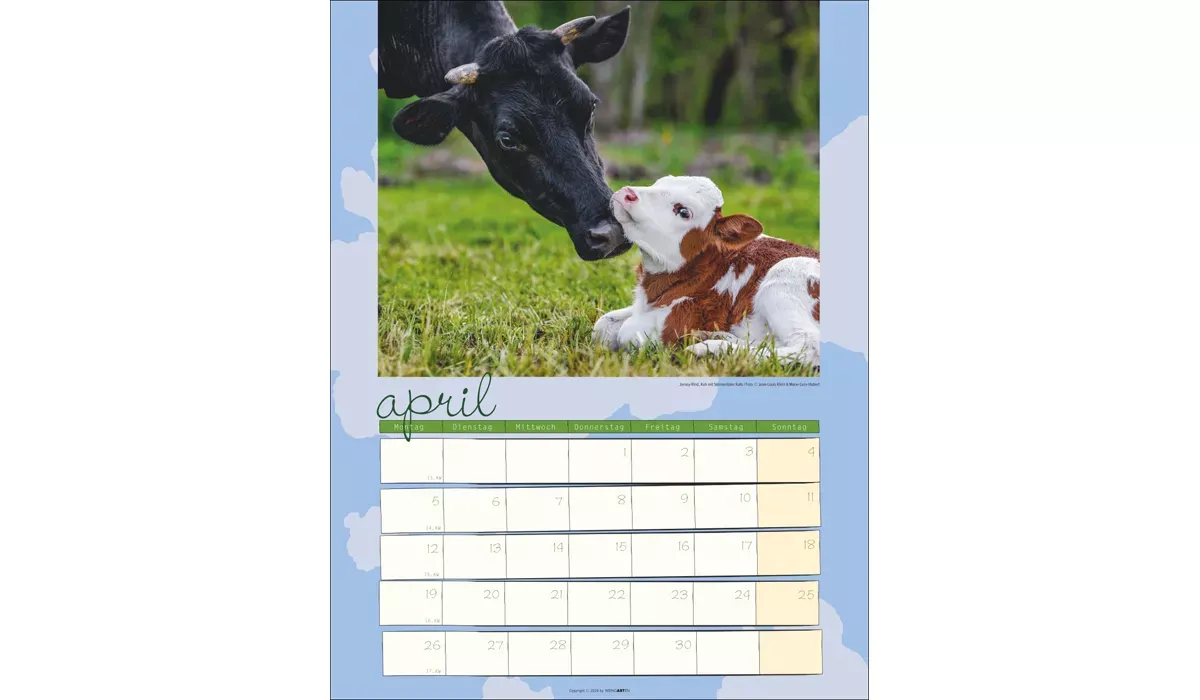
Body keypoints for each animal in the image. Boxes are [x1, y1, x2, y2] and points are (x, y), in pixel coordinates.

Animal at [593, 176, 822, 368]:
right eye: (658, 183)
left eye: (683, 211)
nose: (628, 193)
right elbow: (603, 324)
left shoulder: (682, 317)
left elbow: (627, 332)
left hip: (785, 279)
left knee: (809, 346)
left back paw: (708, 349)